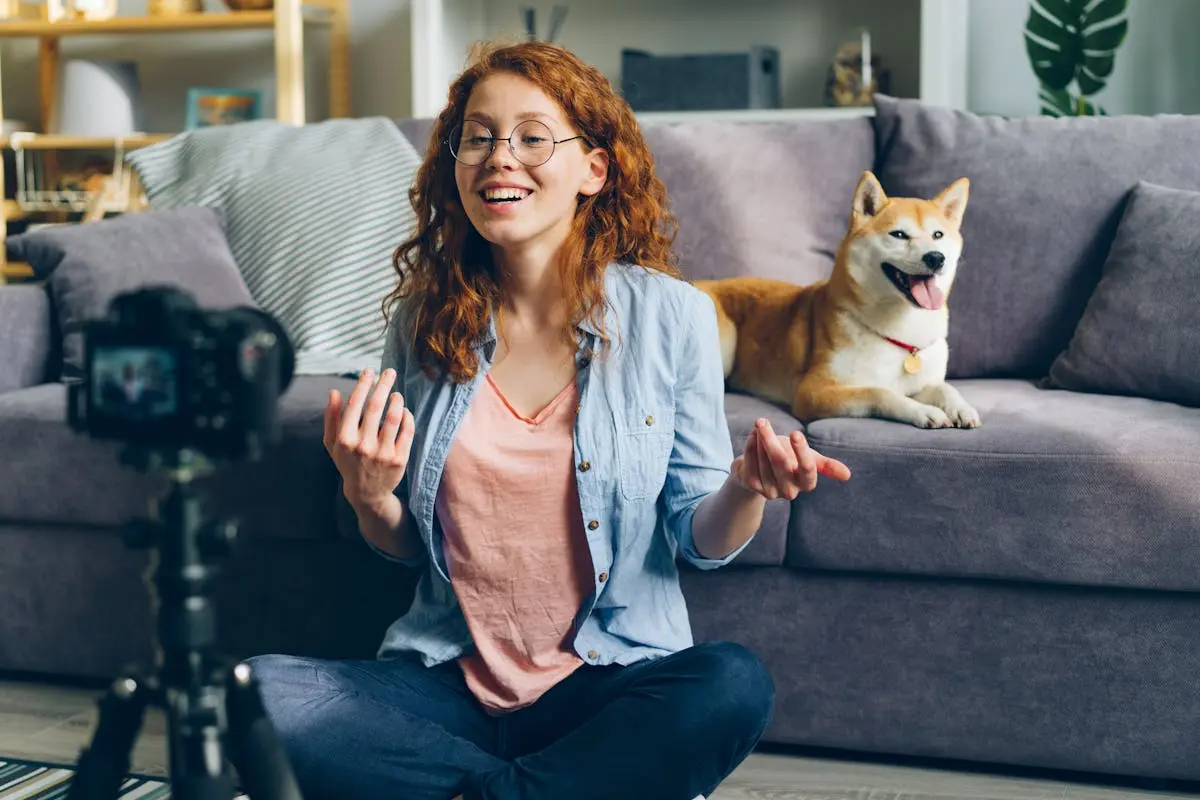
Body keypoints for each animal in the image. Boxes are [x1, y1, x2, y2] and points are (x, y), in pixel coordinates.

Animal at [700, 171, 979, 429]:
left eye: (938, 235)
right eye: (899, 235)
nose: (936, 257)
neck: (902, 336)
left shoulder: (923, 381)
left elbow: (943, 387)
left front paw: (960, 407)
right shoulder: (814, 390)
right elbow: (879, 391)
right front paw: (923, 411)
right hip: (726, 341)